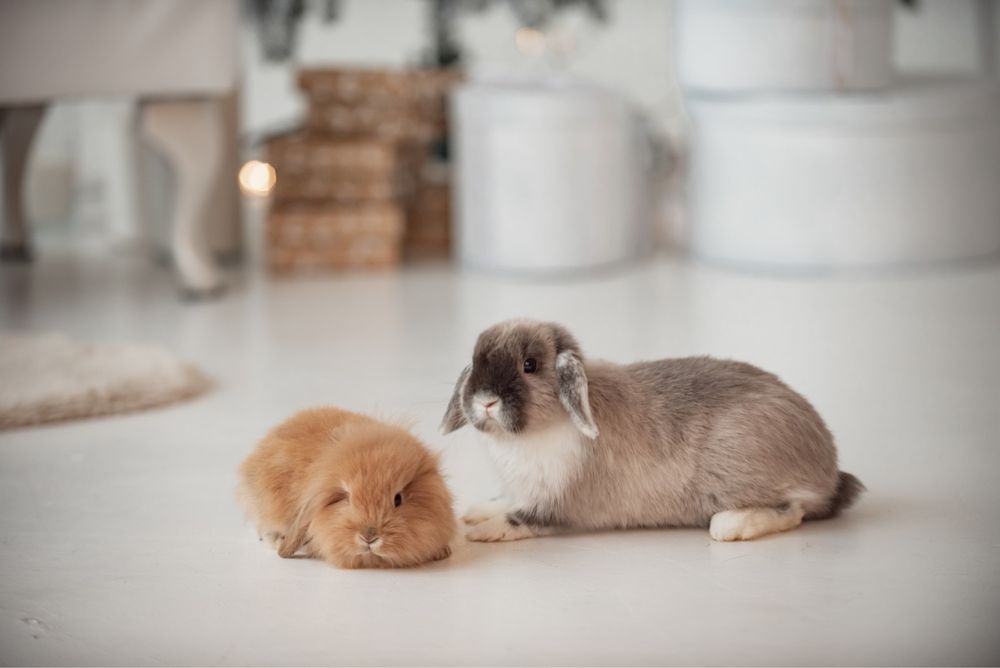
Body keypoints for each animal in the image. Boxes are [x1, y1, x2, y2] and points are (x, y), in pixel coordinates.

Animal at [441, 319, 863, 543]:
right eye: (475, 360)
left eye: (530, 365)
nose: (486, 400)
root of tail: (827, 467)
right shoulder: (522, 489)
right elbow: (503, 501)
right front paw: (476, 511)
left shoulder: (553, 506)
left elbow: (519, 518)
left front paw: (479, 533)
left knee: (793, 510)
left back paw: (728, 526)